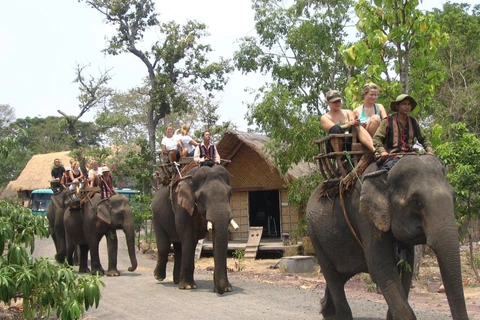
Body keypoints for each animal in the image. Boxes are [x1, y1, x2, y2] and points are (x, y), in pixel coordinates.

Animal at [151, 166, 232, 294]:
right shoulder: (182, 206)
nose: (220, 291)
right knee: (164, 246)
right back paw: (159, 277)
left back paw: (176, 281)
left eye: (230, 193)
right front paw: (188, 287)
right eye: (202, 196)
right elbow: (189, 238)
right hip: (156, 217)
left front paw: (228, 288)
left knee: (179, 247)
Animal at [308, 155, 468, 320]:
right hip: (315, 235)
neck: (387, 173)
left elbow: (406, 271)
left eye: (454, 197)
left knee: (341, 276)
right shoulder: (366, 217)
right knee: (333, 276)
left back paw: (326, 311)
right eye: (416, 202)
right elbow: (381, 269)